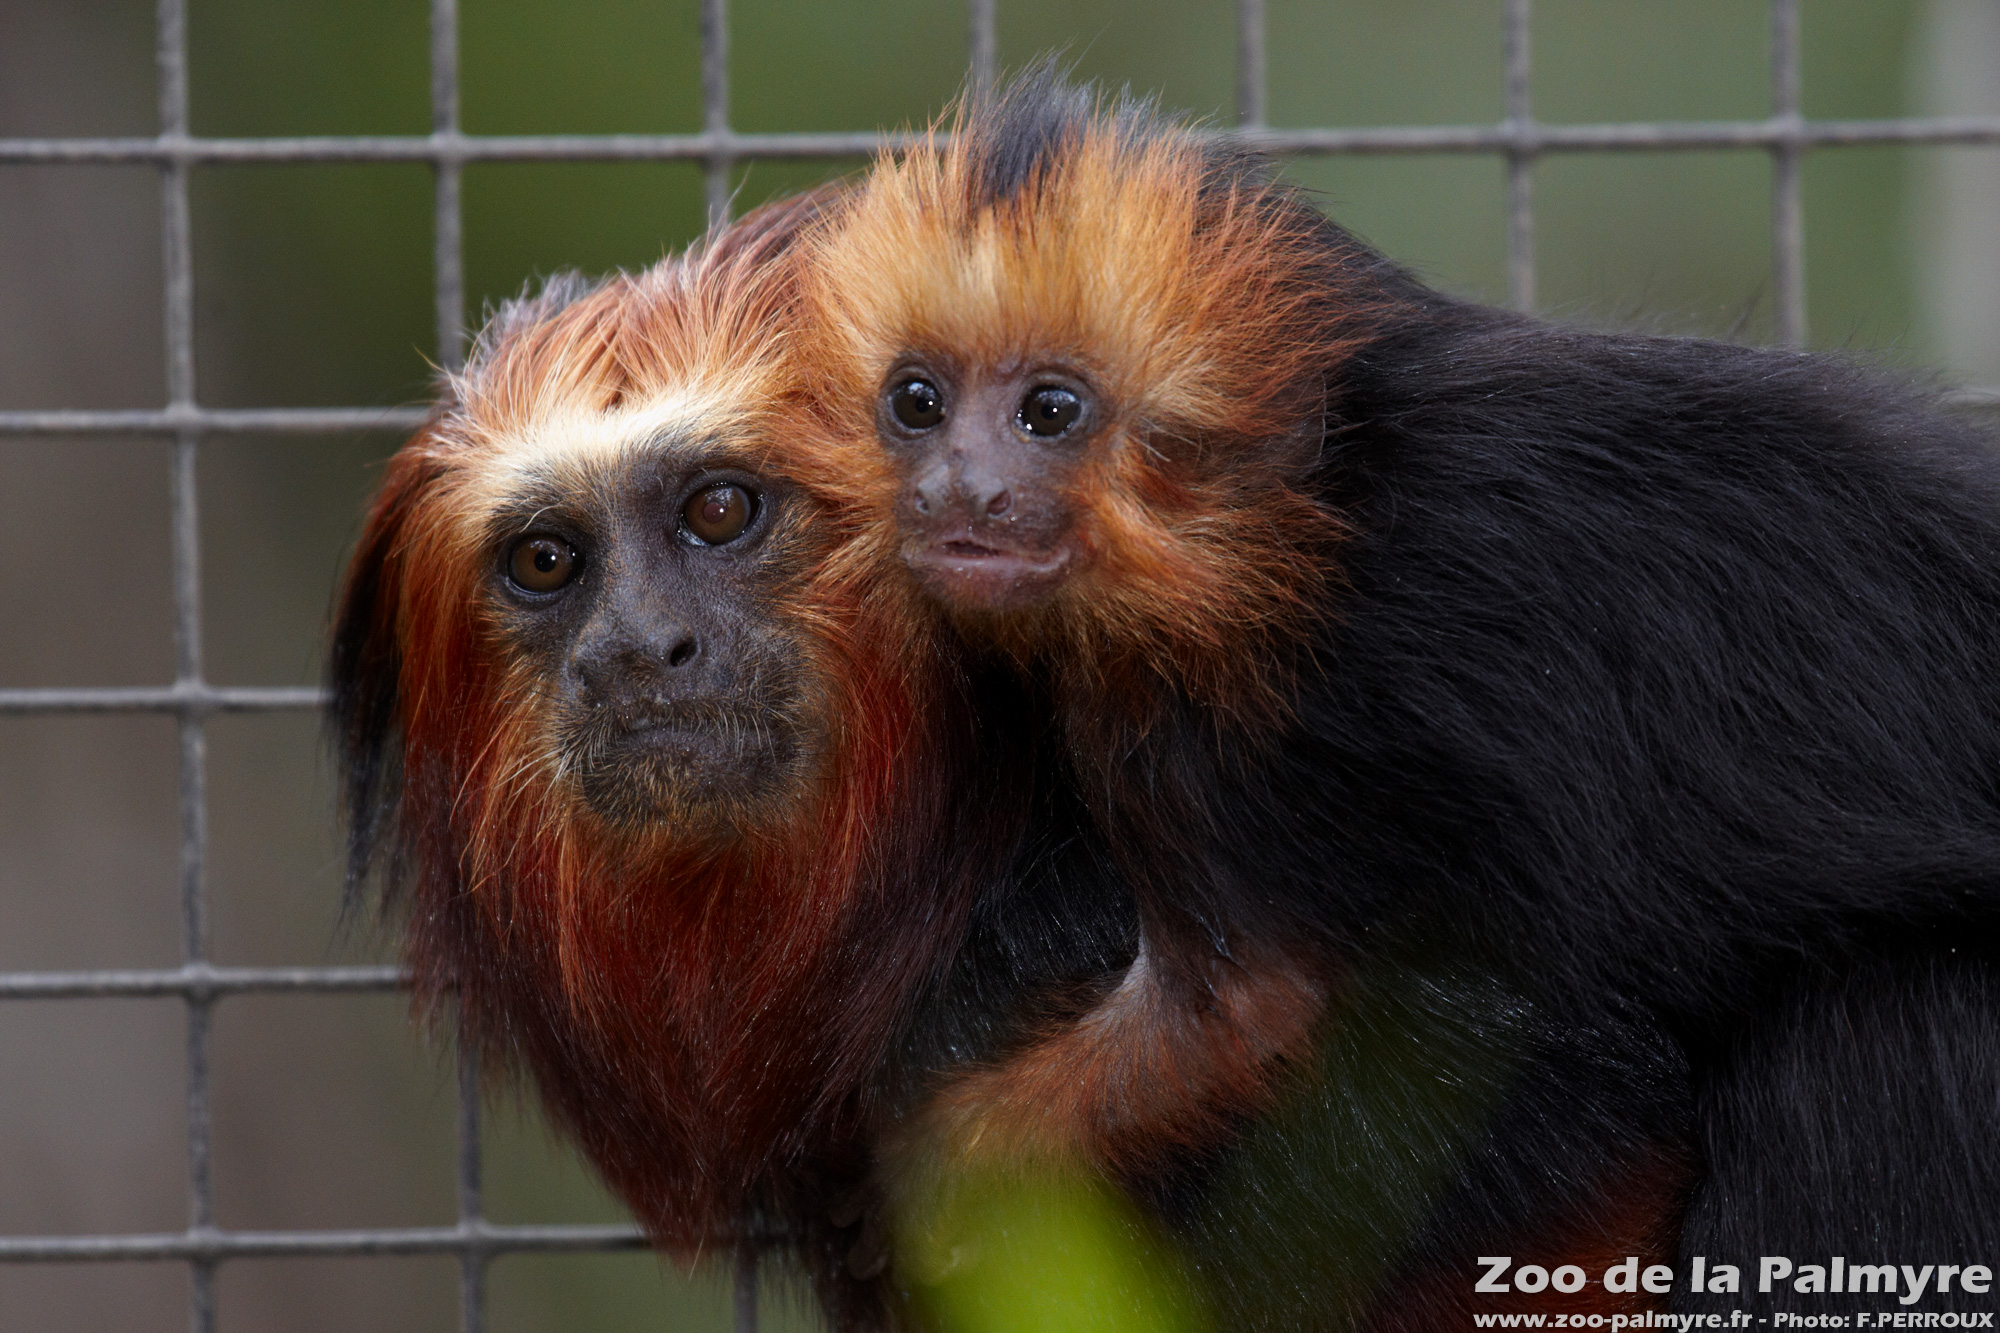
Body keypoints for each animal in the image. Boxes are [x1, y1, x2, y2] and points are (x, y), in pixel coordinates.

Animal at [803, 71, 2000, 1326]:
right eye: (918, 403)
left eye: (1047, 412)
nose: (956, 490)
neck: (1312, 531)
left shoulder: (1278, 714)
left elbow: (1251, 1015)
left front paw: (937, 1176)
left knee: (1885, 1014)